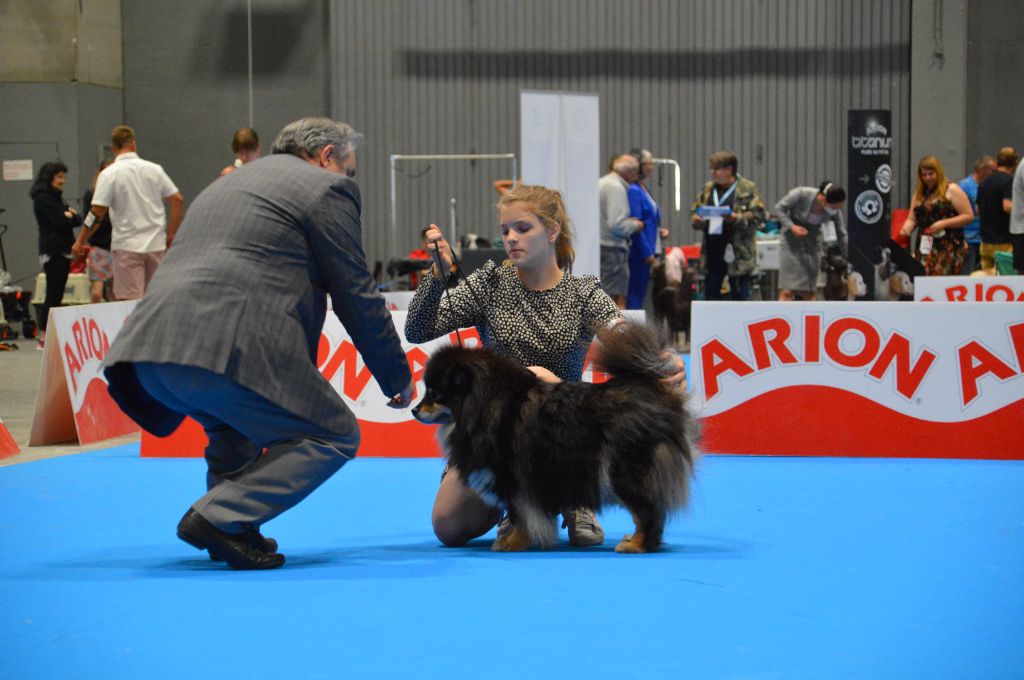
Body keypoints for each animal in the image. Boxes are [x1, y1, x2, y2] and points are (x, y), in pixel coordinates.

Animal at [409, 323, 696, 553]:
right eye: (426, 392)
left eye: (435, 394)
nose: (414, 409)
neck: (485, 404)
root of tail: (651, 389)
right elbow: (519, 516)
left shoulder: (514, 479)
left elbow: (520, 517)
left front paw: (511, 544)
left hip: (624, 471)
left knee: (647, 512)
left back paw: (637, 545)